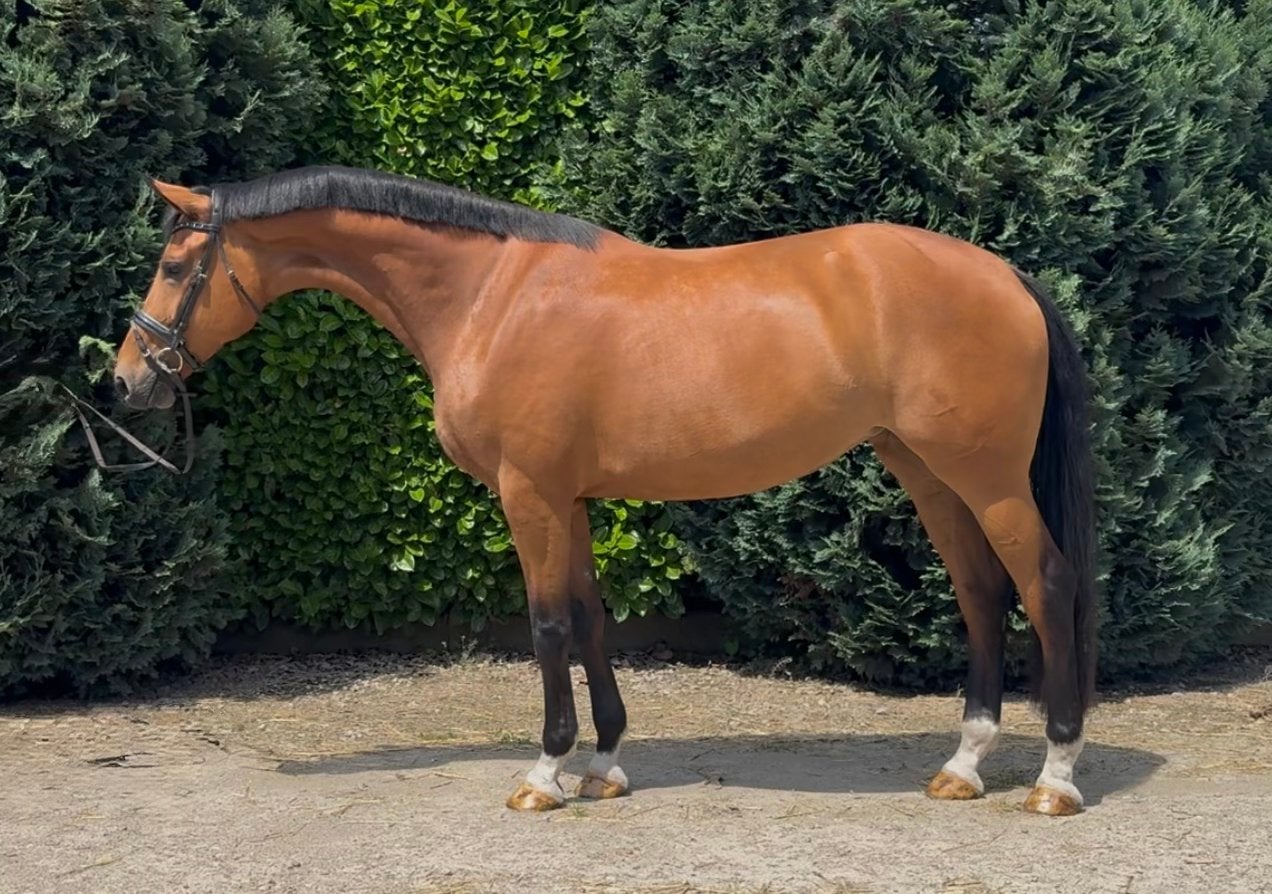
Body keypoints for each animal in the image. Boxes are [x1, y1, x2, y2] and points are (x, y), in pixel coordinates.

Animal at [112, 165, 1097, 816]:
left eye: (174, 265)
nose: (128, 380)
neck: (491, 295)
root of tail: (1005, 274)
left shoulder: (530, 496)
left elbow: (549, 626)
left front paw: (544, 776)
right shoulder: (570, 501)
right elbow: (590, 621)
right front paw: (605, 764)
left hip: (986, 479)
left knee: (1045, 587)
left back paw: (1055, 776)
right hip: (927, 471)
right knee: (980, 594)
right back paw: (964, 765)